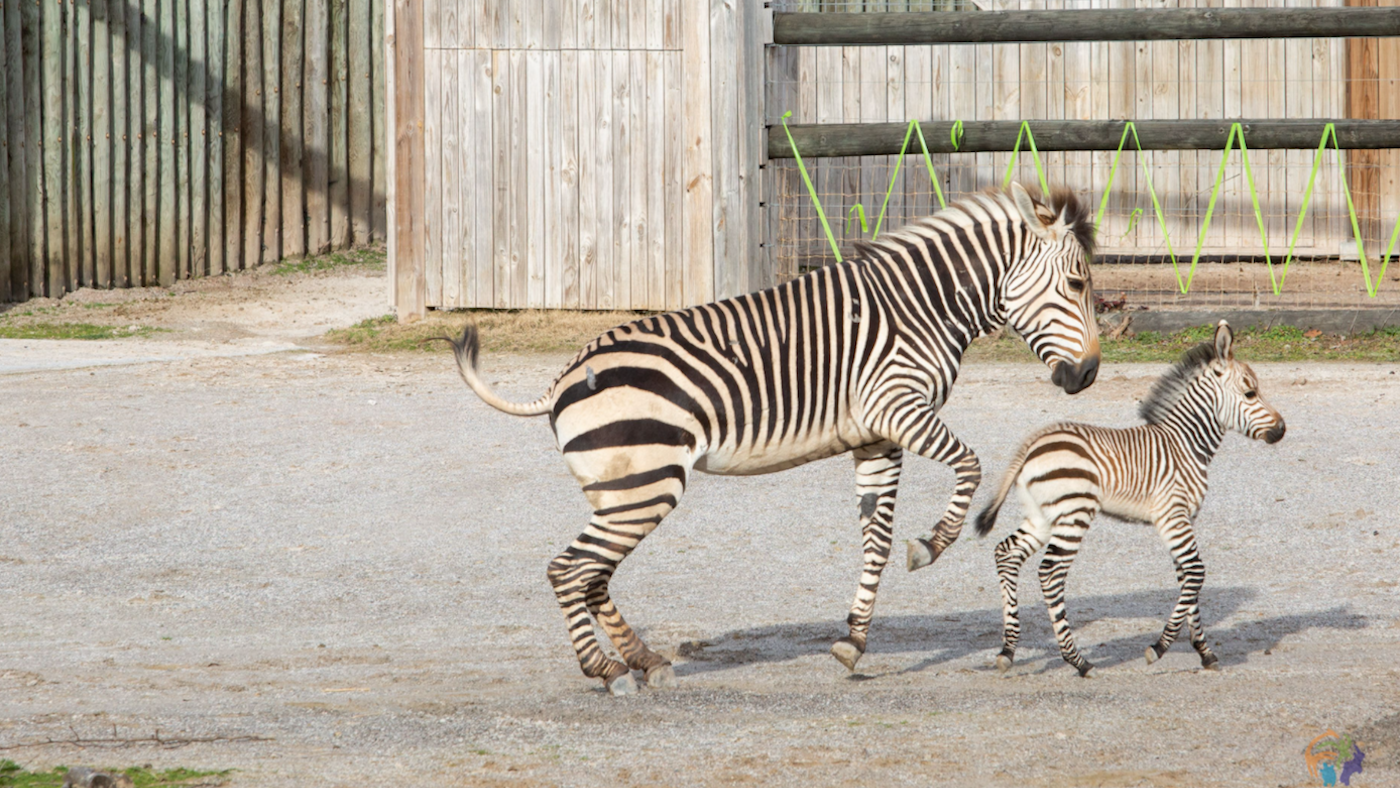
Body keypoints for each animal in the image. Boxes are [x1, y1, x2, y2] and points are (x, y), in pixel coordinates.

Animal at [449, 183, 1101, 695]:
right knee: (569, 570)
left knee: (592, 574)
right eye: (1076, 284)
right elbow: (970, 465)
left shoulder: (876, 438)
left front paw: (853, 639)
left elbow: (875, 539)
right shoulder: (897, 409)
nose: (1090, 374)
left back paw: (645, 661)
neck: (921, 308)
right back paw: (607, 672)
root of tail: (563, 376)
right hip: (645, 485)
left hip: (621, 491)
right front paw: (931, 545)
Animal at [975, 320, 1285, 677]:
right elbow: (1195, 573)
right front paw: (1158, 648)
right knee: (1050, 573)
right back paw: (1077, 660)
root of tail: (1032, 443)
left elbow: (1186, 578)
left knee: (1006, 553)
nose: (1282, 429)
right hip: (1073, 514)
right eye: (1250, 393)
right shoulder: (1173, 515)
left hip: (1041, 515)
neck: (1184, 444)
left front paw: (1204, 652)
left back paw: (1008, 649)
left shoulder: (1182, 519)